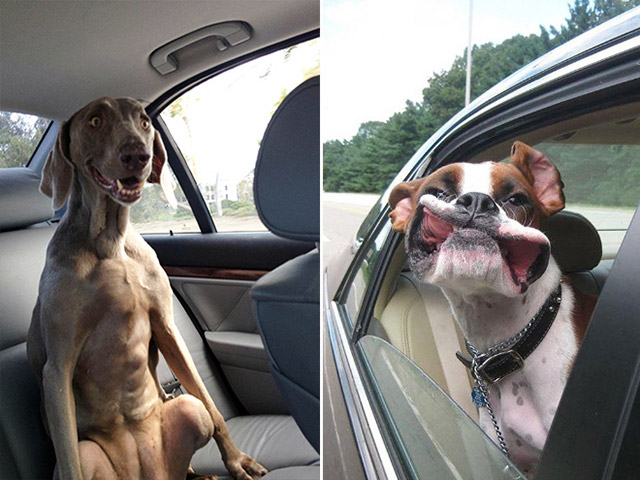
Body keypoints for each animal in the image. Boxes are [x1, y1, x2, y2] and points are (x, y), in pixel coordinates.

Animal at [26, 97, 268, 480]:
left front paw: (237, 460)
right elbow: (68, 460)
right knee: (80, 454)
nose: (137, 155)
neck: (110, 242)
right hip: (91, 452)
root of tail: (148, 473)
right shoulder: (57, 367)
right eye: (95, 120)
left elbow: (213, 407)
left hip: (187, 410)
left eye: (143, 121)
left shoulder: (166, 327)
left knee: (199, 412)